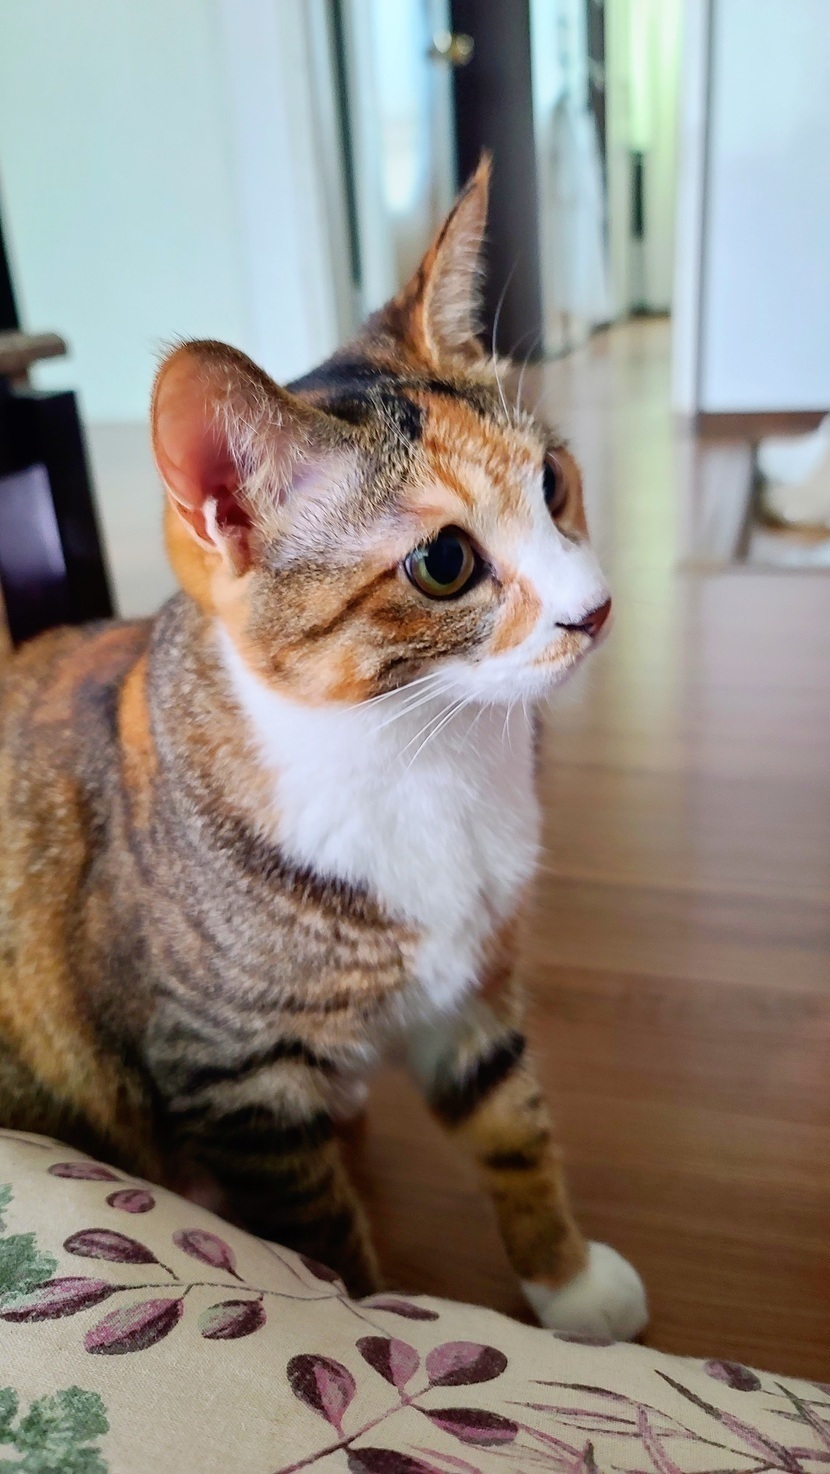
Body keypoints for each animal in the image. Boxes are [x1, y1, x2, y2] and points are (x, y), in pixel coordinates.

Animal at [0, 162, 647, 1340]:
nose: (597, 611)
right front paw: (375, 1322)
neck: (421, 759)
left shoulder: (473, 988)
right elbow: (320, 1231)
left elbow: (514, 1124)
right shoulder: (240, 1082)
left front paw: (567, 1281)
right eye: (443, 562)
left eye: (553, 483)